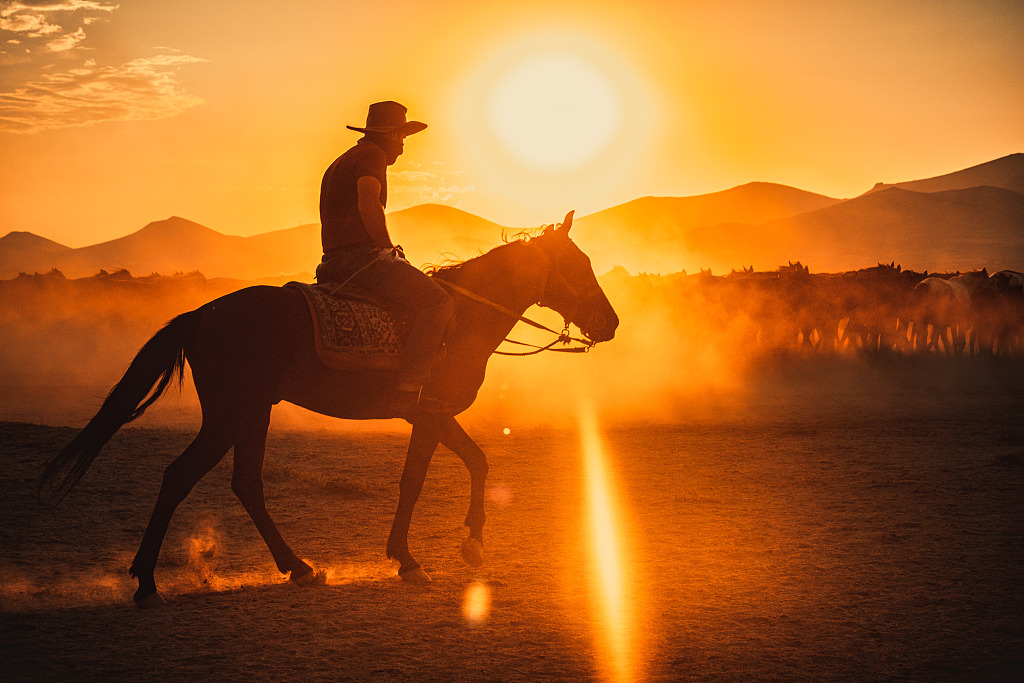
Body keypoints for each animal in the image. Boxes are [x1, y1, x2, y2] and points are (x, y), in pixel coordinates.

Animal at [39, 210, 618, 606]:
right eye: (578, 265)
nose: (610, 323)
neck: (462, 315)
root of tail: (202, 314)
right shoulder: (429, 414)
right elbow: (418, 479)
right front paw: (414, 558)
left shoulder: (434, 415)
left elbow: (476, 461)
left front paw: (466, 544)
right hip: (232, 415)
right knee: (181, 476)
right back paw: (147, 582)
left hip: (252, 414)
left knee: (244, 484)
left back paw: (297, 567)